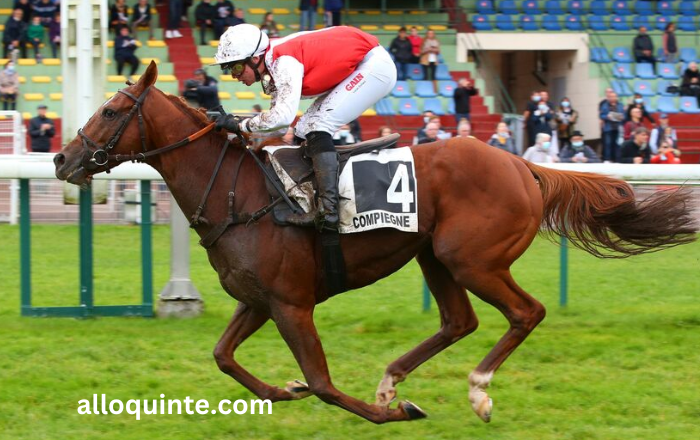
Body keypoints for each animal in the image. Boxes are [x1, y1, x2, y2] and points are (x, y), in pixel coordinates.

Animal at [53, 63, 696, 424]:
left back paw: (477, 392)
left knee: (525, 312)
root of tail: (522, 164)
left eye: (111, 109)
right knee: (459, 321)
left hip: (472, 258)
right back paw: (393, 379)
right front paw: (284, 390)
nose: (62, 158)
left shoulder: (291, 304)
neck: (236, 192)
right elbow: (225, 358)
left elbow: (322, 384)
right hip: (435, 256)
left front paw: (393, 414)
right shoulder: (259, 300)